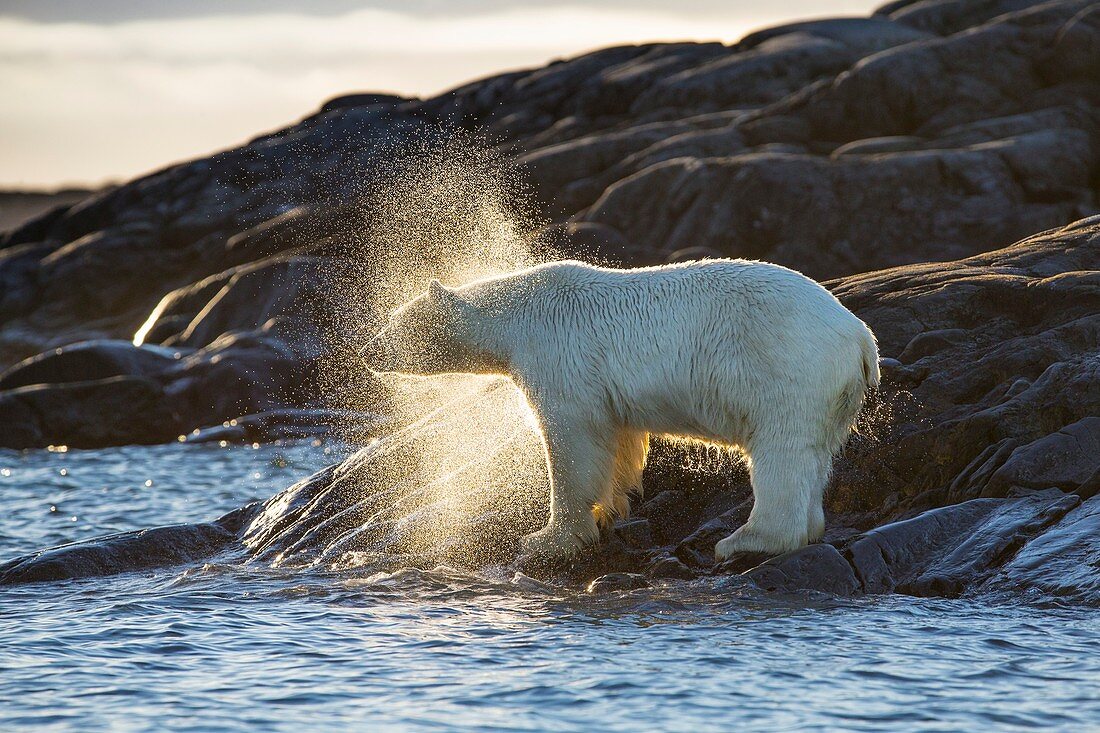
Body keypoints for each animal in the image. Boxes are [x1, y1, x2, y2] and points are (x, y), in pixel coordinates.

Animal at [365, 259, 880, 561]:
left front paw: (548, 538)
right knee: (814, 457)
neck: (515, 317)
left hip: (786, 369)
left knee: (782, 452)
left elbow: (572, 440)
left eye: (399, 323)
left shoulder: (560, 355)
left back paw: (742, 541)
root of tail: (860, 336)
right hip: (831, 395)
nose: (367, 351)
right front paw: (612, 507)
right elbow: (619, 439)